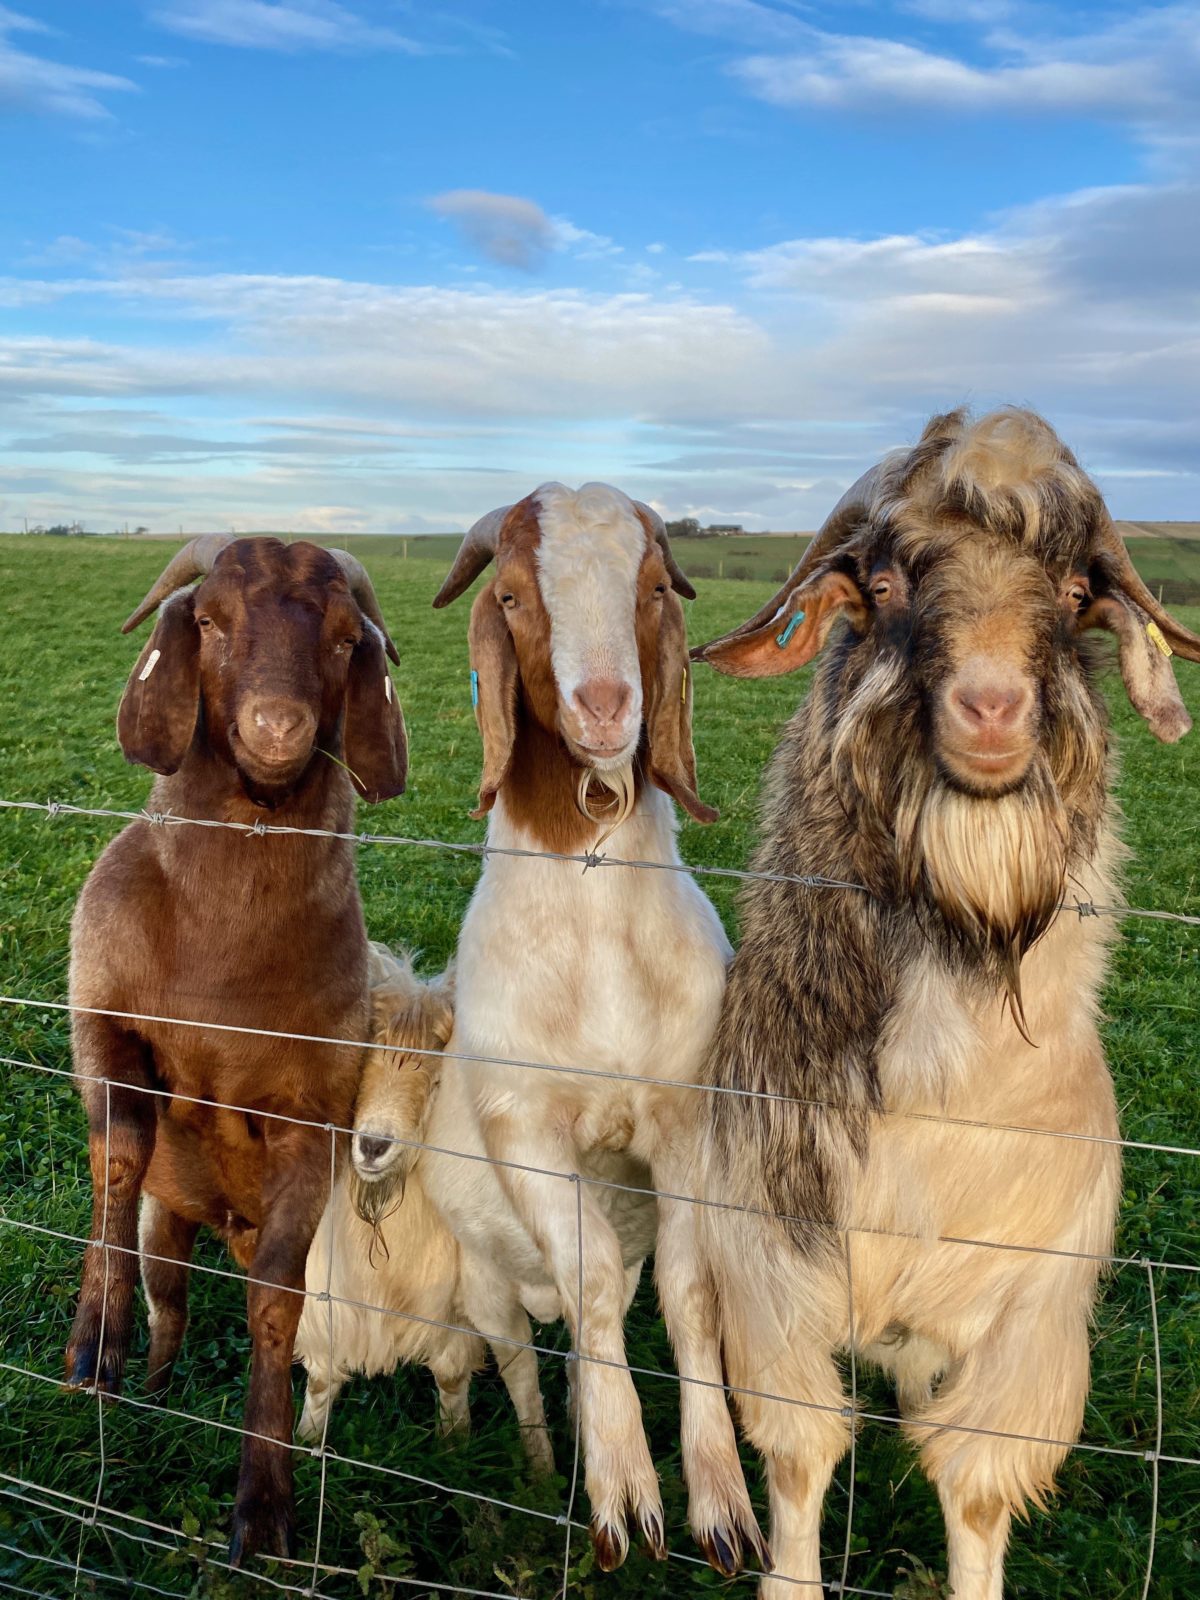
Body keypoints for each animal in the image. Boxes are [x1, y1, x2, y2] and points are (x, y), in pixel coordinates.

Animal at [64, 535, 408, 1565]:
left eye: (345, 640)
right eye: (209, 620)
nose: (277, 724)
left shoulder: (314, 1119)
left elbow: (274, 1305)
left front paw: (264, 1505)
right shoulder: (99, 1019)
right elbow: (118, 1158)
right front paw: (93, 1342)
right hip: (167, 1221)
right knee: (170, 1293)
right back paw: (149, 1381)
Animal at [294, 946, 555, 1472]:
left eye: (437, 1084)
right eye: (358, 1068)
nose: (373, 1146)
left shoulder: (456, 1309)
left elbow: (455, 1377)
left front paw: (452, 1451)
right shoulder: (323, 1295)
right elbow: (321, 1379)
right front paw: (305, 1445)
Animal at [406, 483, 766, 1575]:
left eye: (651, 587)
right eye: (512, 595)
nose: (607, 706)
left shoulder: (687, 1117)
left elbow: (688, 1294)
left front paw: (719, 1498)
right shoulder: (524, 1127)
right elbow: (599, 1277)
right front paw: (622, 1489)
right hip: (483, 1279)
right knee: (526, 1353)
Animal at [672, 408, 1200, 1598]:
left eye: (1075, 588)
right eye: (882, 578)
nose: (992, 707)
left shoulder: (1031, 1325)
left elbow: (975, 1490)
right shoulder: (772, 1275)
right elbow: (799, 1458)